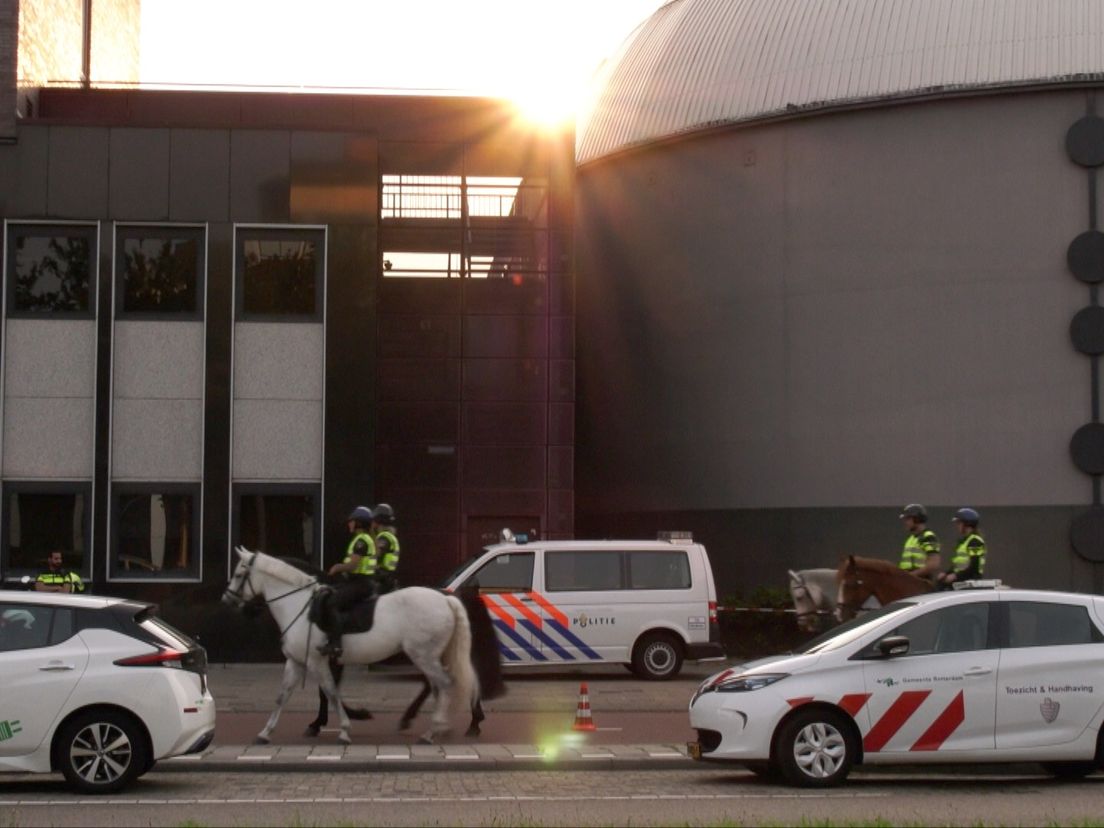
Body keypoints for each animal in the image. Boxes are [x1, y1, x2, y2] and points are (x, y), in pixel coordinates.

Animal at [220, 552, 474, 746]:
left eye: (239, 574)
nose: (226, 600)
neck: (299, 606)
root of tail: (445, 599)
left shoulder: (316, 661)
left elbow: (330, 692)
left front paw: (343, 729)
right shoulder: (296, 662)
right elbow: (282, 696)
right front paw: (265, 733)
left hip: (423, 655)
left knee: (444, 683)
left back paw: (432, 731)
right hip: (429, 656)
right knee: (437, 686)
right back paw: (438, 727)